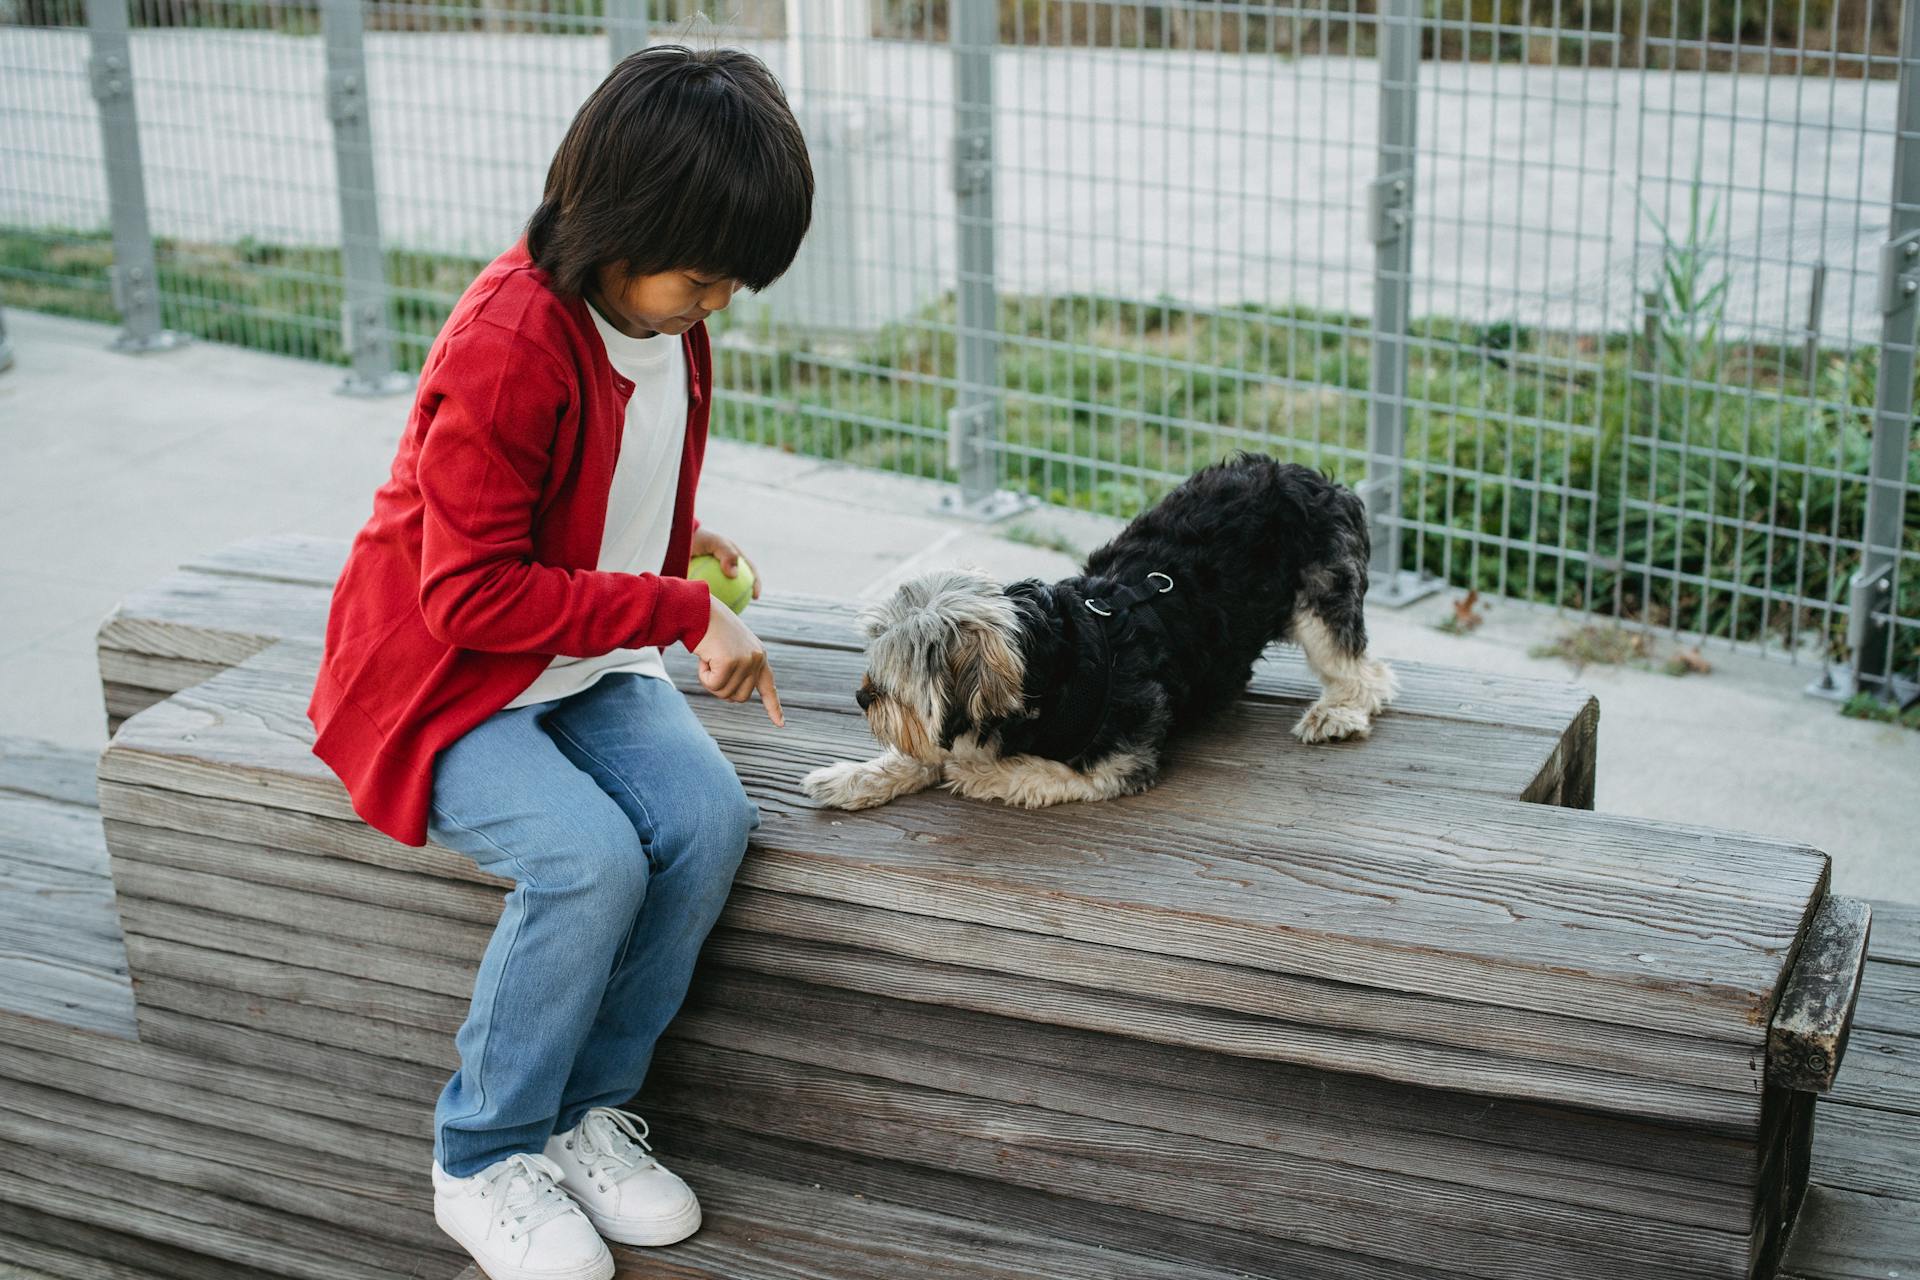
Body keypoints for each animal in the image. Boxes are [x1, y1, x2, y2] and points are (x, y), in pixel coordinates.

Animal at [802, 452, 1405, 809]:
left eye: (899, 682)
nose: (862, 696)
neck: (1046, 667)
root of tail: (1314, 477)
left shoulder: (1120, 761)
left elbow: (1036, 771)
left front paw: (981, 773)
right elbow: (924, 753)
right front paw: (855, 777)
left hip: (1322, 598)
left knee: (1367, 673)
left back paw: (1337, 713)